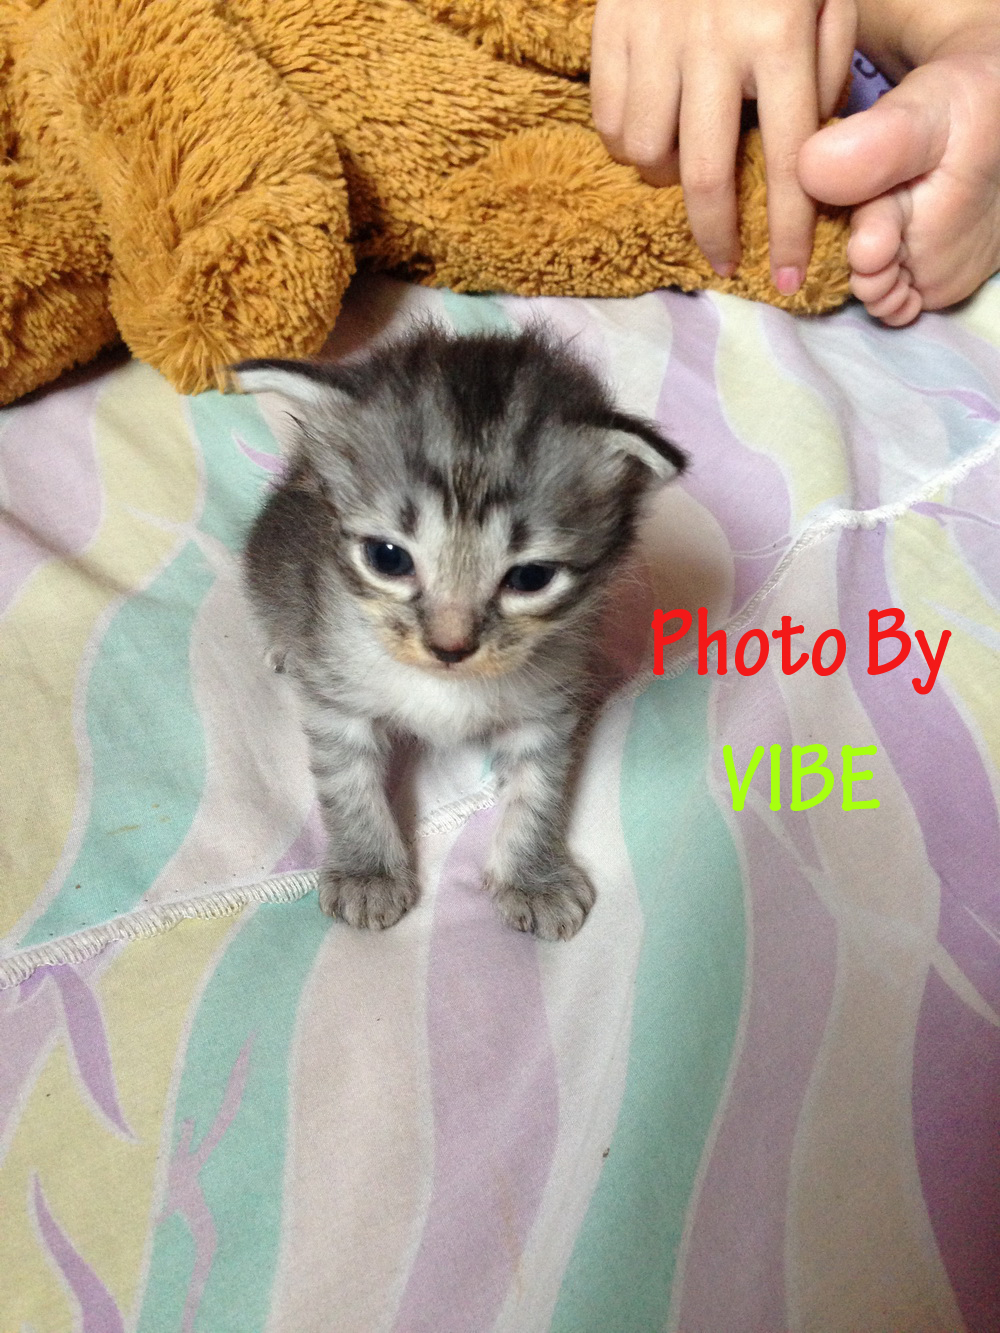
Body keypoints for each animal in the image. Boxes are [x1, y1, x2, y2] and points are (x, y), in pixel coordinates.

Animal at [233, 325, 686, 940]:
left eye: (530, 577)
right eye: (388, 558)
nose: (450, 647)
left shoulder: (547, 707)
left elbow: (539, 790)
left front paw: (534, 878)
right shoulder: (337, 697)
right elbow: (346, 782)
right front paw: (367, 872)